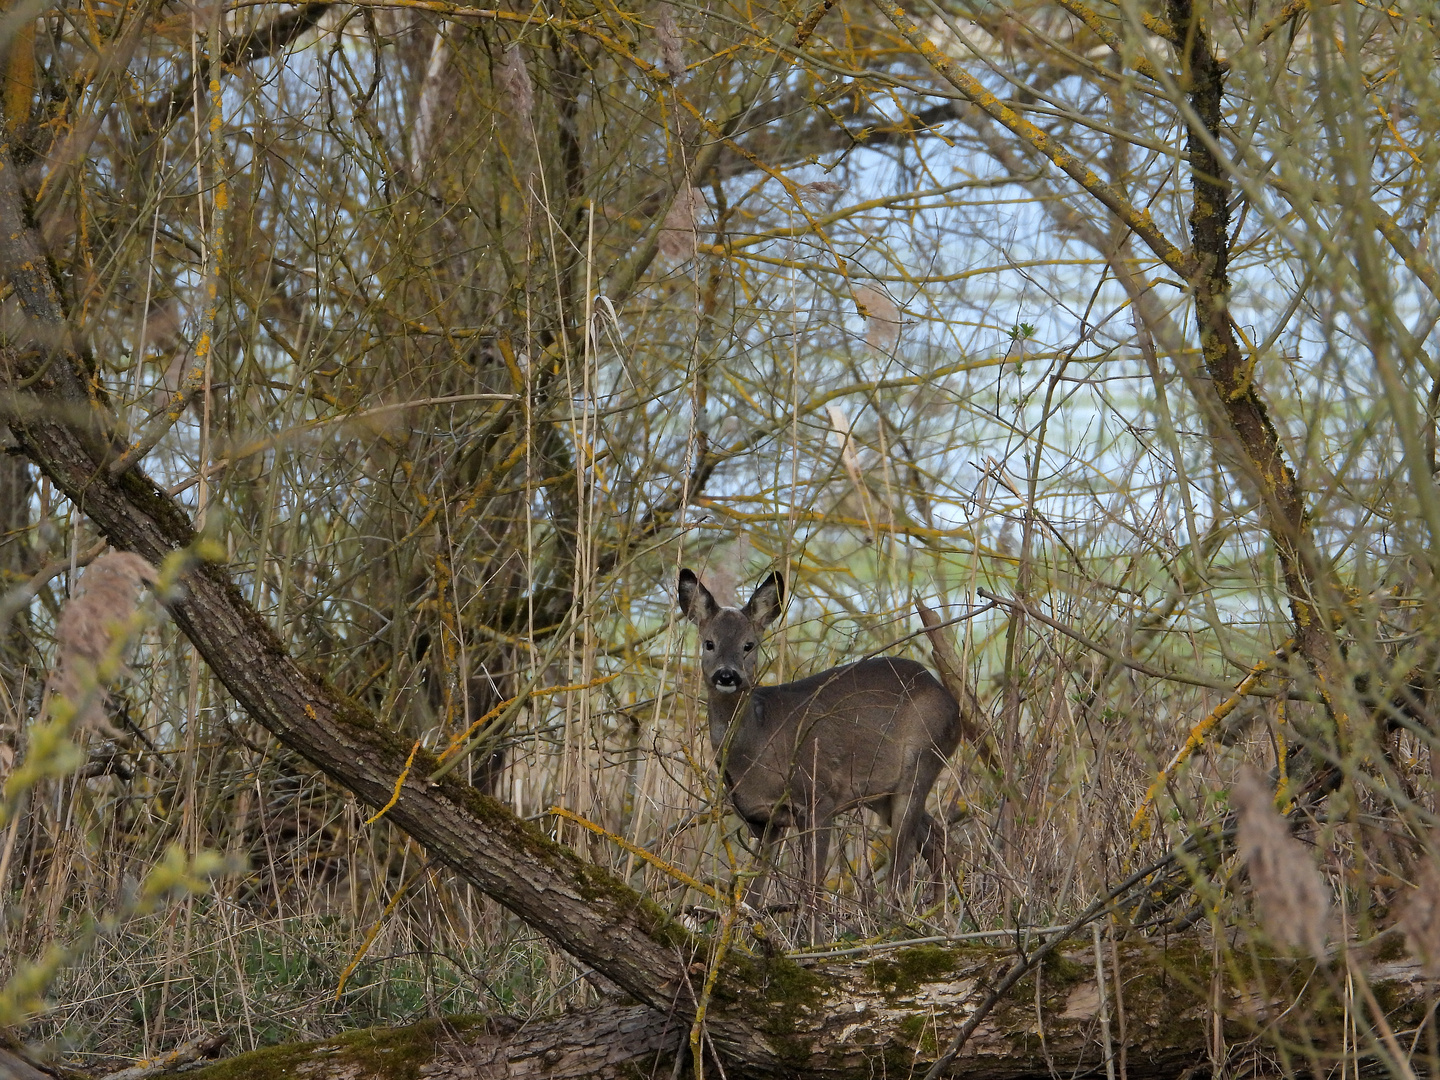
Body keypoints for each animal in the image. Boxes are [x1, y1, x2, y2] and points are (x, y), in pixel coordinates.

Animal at [679, 570, 961, 915]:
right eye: (709, 643)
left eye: (749, 645)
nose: (727, 675)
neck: (758, 742)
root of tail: (953, 704)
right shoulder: (763, 820)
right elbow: (753, 896)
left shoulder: (819, 797)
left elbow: (812, 890)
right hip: (882, 793)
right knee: (940, 841)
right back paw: (938, 914)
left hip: (922, 762)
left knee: (902, 865)